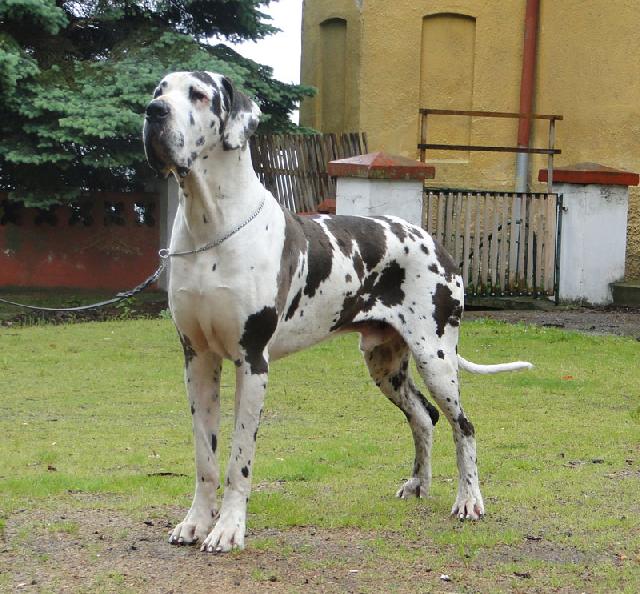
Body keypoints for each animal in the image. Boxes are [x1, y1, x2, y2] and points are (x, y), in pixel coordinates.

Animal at [143, 71, 533, 553]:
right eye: (159, 91)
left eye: (198, 95)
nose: (153, 112)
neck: (209, 227)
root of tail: (436, 242)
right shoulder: (197, 359)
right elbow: (205, 458)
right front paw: (196, 523)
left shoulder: (252, 363)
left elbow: (238, 461)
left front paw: (229, 529)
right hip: (385, 364)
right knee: (424, 417)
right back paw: (418, 484)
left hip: (436, 357)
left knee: (464, 425)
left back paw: (469, 500)